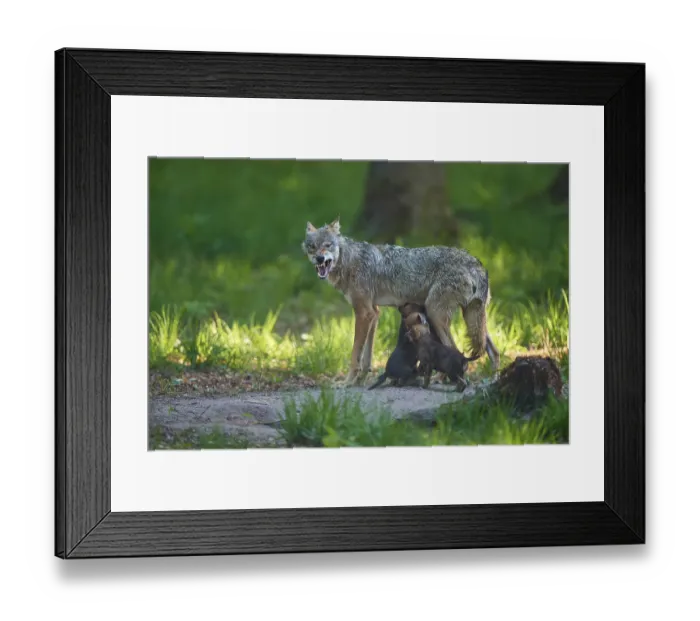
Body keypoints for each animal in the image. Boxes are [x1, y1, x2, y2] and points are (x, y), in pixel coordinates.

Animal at [302, 217, 500, 385]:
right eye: (312, 247)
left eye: (328, 245)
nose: (319, 258)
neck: (348, 261)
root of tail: (477, 264)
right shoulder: (374, 313)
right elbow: (366, 356)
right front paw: (361, 380)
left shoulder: (364, 313)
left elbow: (355, 354)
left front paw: (347, 382)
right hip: (473, 320)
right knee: (493, 351)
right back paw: (493, 380)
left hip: (435, 314)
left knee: (455, 348)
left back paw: (441, 378)